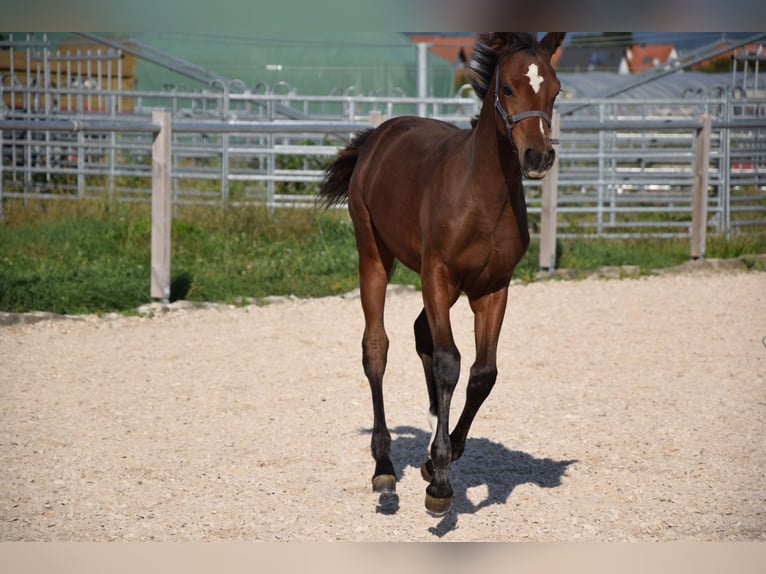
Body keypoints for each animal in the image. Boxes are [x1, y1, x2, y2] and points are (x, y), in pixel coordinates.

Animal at [318, 33, 564, 516]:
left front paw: (440, 457)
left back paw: (433, 433)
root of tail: (378, 135)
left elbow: (483, 373)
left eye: (556, 90)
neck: (483, 197)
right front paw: (440, 484)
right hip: (375, 255)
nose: (538, 156)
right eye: (508, 88)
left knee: (420, 334)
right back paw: (384, 467)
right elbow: (450, 362)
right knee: (377, 348)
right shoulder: (437, 275)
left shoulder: (493, 288)